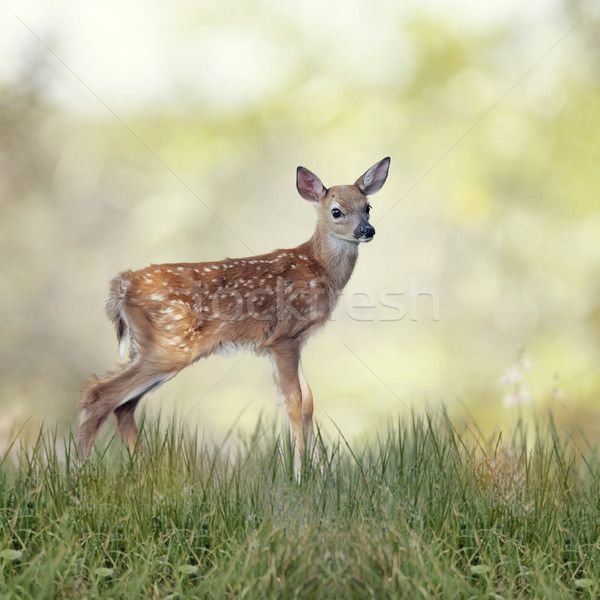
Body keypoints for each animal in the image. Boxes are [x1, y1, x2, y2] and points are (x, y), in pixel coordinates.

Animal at [77, 157, 392, 476]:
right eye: (337, 211)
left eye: (367, 206)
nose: (367, 230)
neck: (317, 267)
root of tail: (121, 285)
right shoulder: (284, 337)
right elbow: (294, 401)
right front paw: (299, 474)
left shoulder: (297, 341)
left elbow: (309, 401)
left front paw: (320, 473)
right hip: (168, 346)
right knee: (99, 394)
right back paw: (80, 472)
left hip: (147, 349)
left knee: (123, 405)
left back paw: (144, 471)